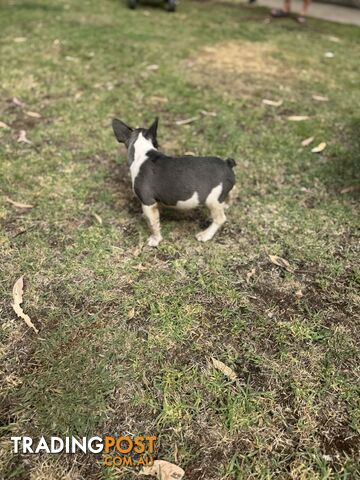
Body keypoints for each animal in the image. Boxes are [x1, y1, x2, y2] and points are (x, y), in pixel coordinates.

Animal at [112, 117, 236, 248]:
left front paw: (155, 239)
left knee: (220, 218)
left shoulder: (148, 202)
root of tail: (228, 164)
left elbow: (153, 224)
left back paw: (205, 235)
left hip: (212, 200)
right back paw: (226, 204)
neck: (143, 151)